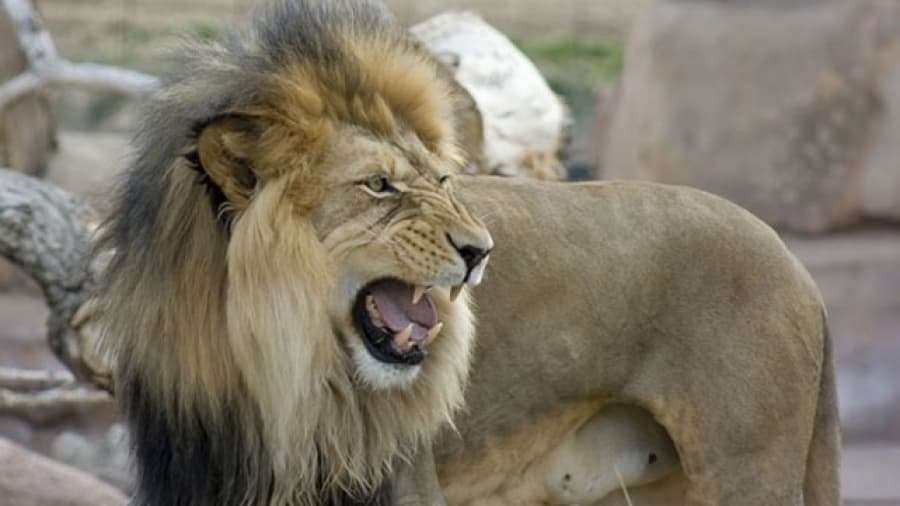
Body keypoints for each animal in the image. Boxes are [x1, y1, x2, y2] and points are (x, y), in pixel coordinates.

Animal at [97, 1, 840, 505]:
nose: (481, 251)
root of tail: (798, 268)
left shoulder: (404, 483)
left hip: (745, 466)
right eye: (380, 185)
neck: (266, 369)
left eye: (442, 179)